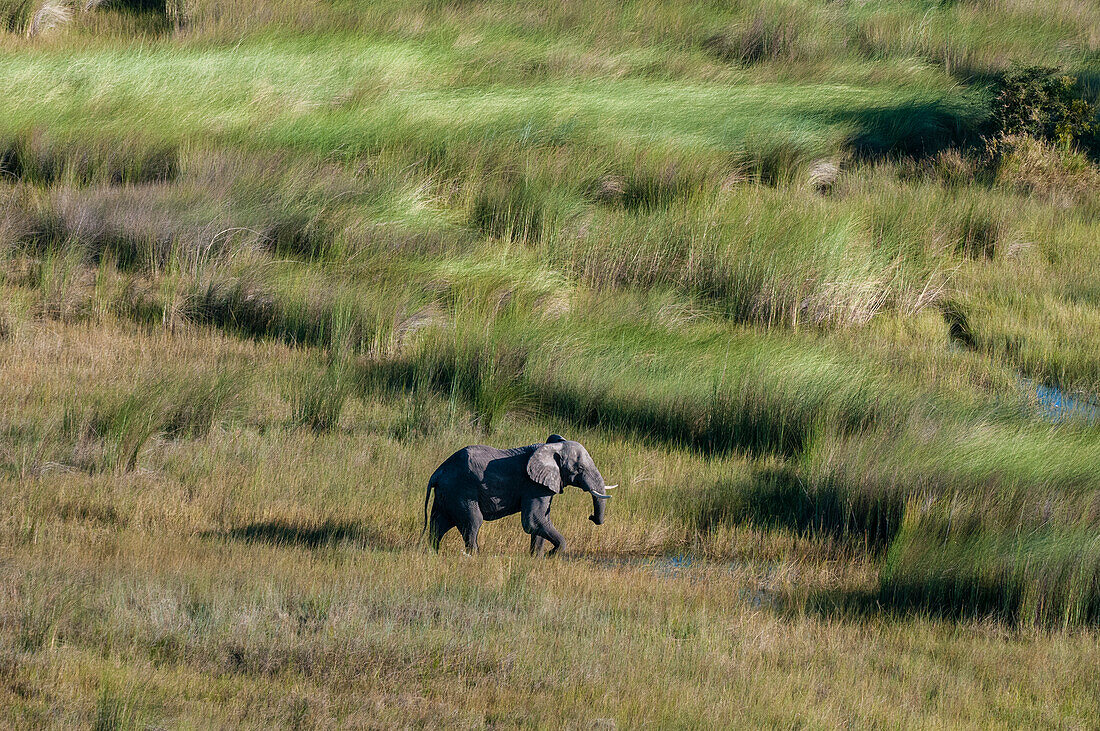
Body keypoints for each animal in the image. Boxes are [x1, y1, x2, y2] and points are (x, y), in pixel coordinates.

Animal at [420, 430, 616, 556]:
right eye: (580, 468)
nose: (591, 517)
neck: (551, 447)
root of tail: (438, 472)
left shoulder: (543, 485)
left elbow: (541, 520)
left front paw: (537, 558)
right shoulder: (533, 485)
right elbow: (533, 520)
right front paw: (552, 554)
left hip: (446, 494)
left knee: (438, 524)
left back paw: (433, 552)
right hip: (460, 491)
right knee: (472, 521)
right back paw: (474, 556)